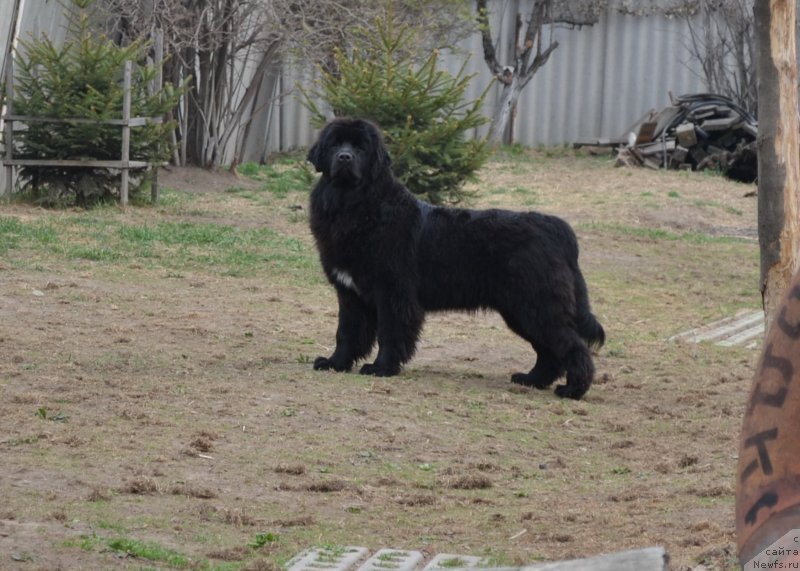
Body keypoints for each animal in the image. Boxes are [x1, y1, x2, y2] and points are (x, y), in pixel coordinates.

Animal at [308, 118, 608, 400]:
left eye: (360, 148)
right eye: (335, 145)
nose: (344, 157)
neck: (354, 205)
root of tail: (557, 227)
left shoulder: (392, 292)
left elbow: (390, 333)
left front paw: (381, 368)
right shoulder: (350, 293)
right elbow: (347, 332)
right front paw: (335, 363)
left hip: (538, 305)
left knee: (572, 345)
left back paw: (573, 389)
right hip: (521, 310)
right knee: (549, 352)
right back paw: (531, 380)